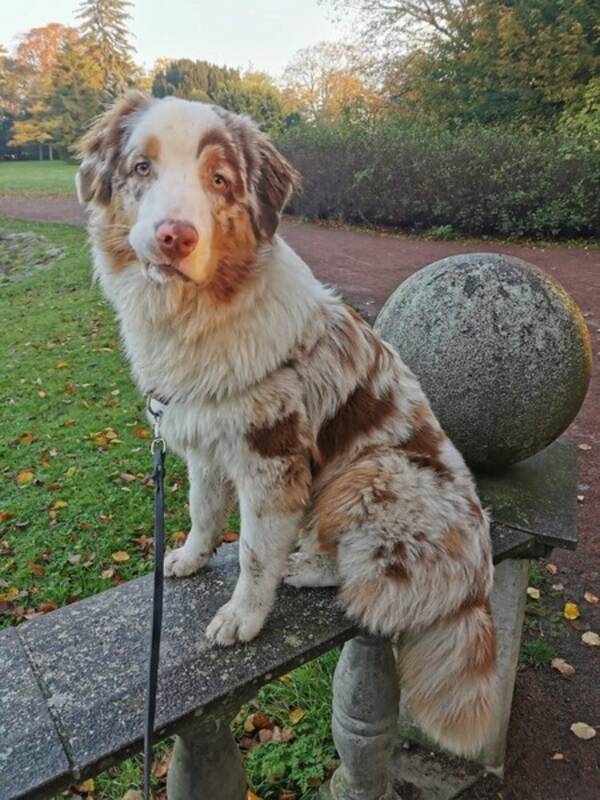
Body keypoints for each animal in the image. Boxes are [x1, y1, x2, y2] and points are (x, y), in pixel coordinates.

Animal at [76, 94, 496, 756]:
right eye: (142, 167)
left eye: (220, 181)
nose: (175, 236)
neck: (199, 315)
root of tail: (478, 580)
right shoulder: (203, 439)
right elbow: (202, 510)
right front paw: (189, 557)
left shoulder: (270, 458)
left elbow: (252, 552)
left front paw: (242, 617)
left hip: (370, 473)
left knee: (370, 582)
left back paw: (303, 568)